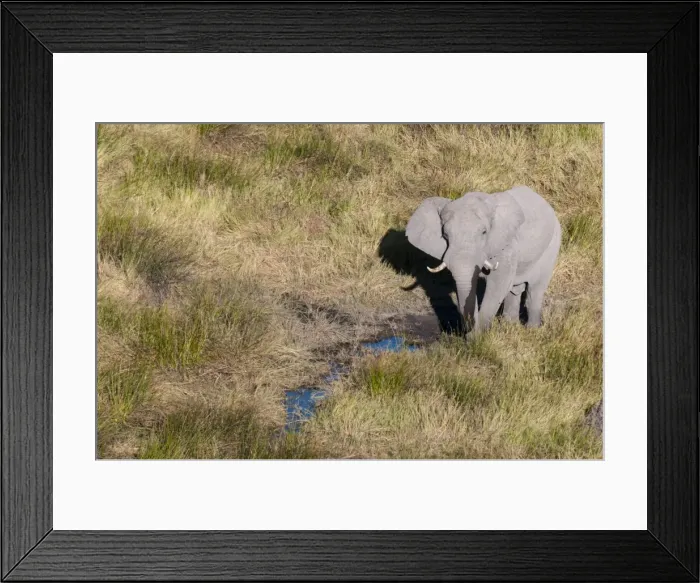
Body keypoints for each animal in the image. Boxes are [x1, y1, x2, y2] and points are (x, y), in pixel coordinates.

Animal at [405, 185, 561, 333]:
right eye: (445, 236)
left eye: (484, 232)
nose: (468, 331)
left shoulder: (506, 244)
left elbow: (498, 284)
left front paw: (478, 337)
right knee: (514, 290)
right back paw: (510, 326)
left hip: (553, 244)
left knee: (535, 290)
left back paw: (532, 330)